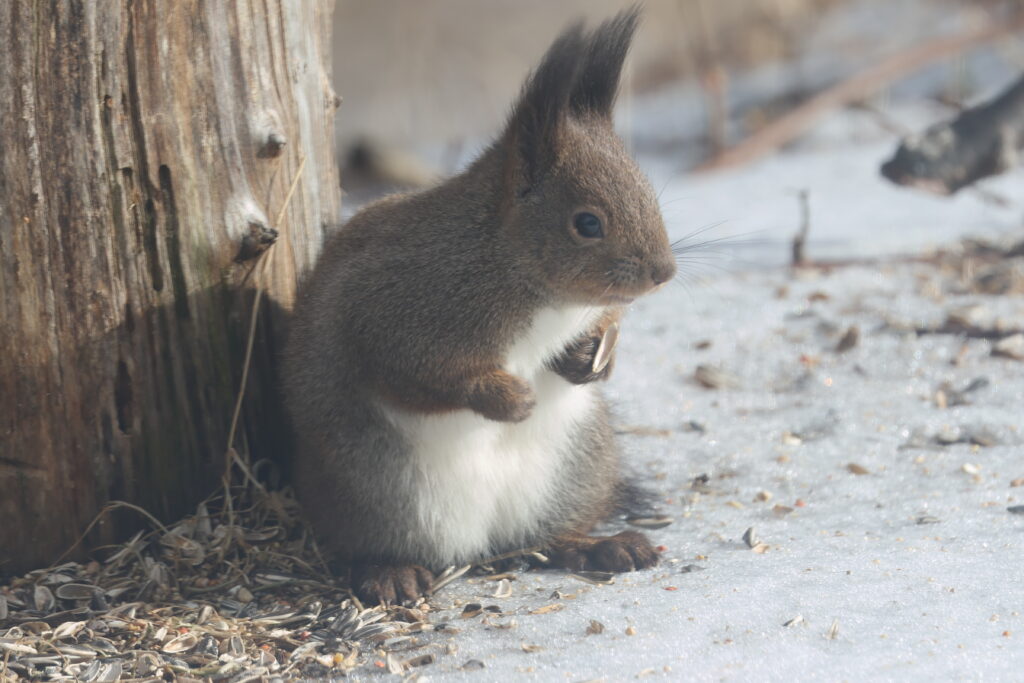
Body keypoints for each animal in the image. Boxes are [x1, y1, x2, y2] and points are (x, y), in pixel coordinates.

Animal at [283, 8, 677, 605]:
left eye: (650, 194)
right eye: (587, 223)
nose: (664, 273)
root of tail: (480, 545)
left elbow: (603, 325)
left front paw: (592, 358)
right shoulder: (396, 310)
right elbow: (414, 372)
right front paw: (506, 398)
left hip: (578, 469)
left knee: (553, 538)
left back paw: (599, 545)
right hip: (374, 491)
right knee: (362, 546)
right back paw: (390, 572)